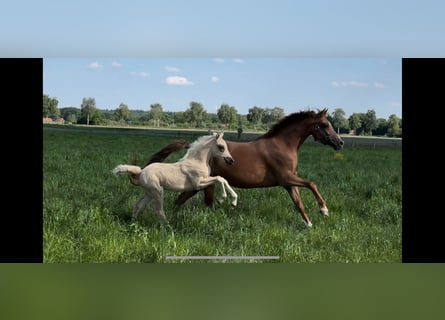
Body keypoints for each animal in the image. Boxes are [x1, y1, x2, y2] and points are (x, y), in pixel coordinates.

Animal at [144, 109, 342, 226]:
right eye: (325, 125)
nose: (340, 142)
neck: (282, 146)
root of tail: (192, 147)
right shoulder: (286, 177)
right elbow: (312, 184)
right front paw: (324, 210)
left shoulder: (289, 183)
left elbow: (299, 202)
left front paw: (309, 225)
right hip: (204, 184)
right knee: (199, 202)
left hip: (199, 185)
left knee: (182, 200)